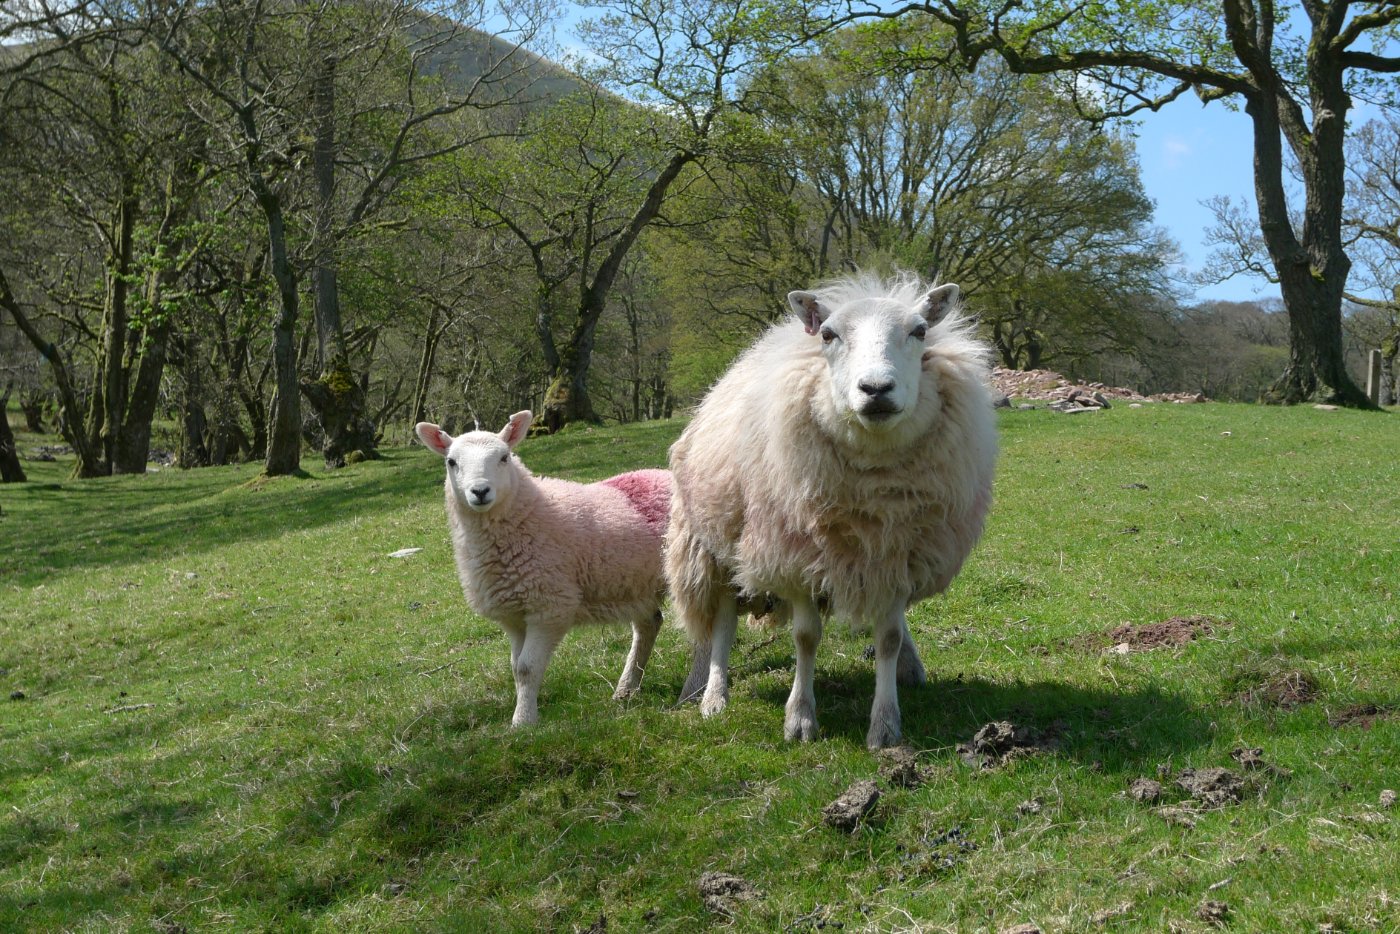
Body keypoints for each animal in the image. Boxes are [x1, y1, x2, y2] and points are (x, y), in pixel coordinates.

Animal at [416, 411, 673, 727]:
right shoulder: (514, 615)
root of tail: (664, 474)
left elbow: (527, 667)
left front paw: (523, 722)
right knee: (649, 624)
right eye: (451, 462)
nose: (480, 491)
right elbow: (516, 667)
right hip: (635, 583)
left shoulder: (549, 607)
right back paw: (626, 688)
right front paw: (523, 713)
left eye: (504, 457)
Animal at [666, 272, 997, 749]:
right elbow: (806, 638)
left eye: (919, 331)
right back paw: (711, 695)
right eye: (827, 334)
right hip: (715, 546)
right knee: (722, 624)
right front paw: (800, 719)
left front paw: (885, 725)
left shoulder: (898, 556)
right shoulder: (796, 557)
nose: (876, 389)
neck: (874, 486)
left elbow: (889, 637)